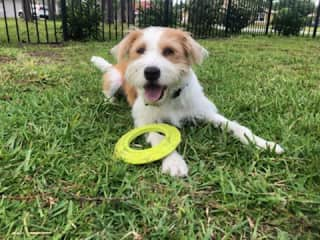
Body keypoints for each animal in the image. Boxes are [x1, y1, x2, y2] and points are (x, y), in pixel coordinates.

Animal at [91, 26, 284, 176]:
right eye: (140, 51)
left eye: (169, 51)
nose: (151, 72)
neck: (170, 98)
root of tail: (117, 65)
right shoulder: (144, 121)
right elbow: (160, 138)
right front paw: (174, 163)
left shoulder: (205, 112)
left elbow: (237, 127)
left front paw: (263, 143)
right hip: (114, 79)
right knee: (107, 92)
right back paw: (110, 102)